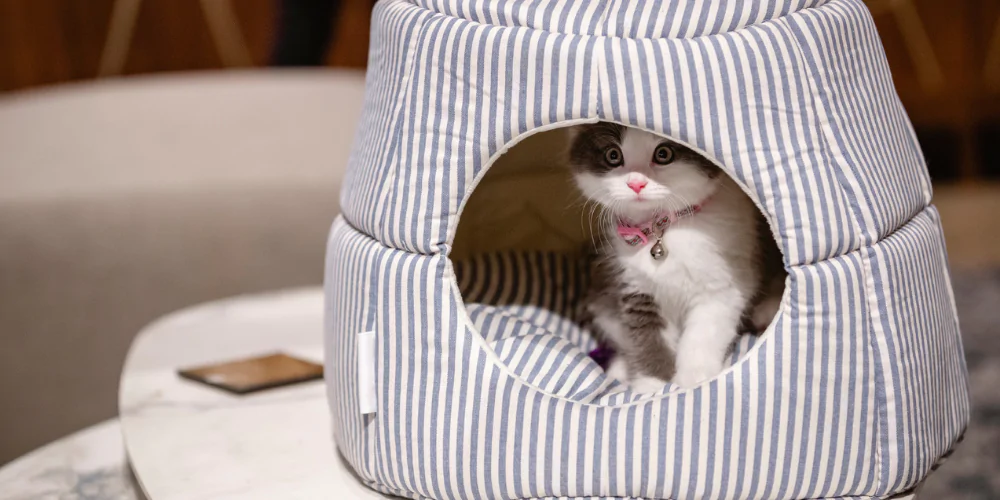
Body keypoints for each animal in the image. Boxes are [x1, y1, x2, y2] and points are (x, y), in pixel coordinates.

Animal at [568, 123, 784, 392]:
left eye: (663, 154)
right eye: (613, 155)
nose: (636, 183)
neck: (661, 229)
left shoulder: (725, 282)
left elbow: (704, 333)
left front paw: (693, 379)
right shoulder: (635, 286)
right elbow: (645, 335)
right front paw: (652, 386)